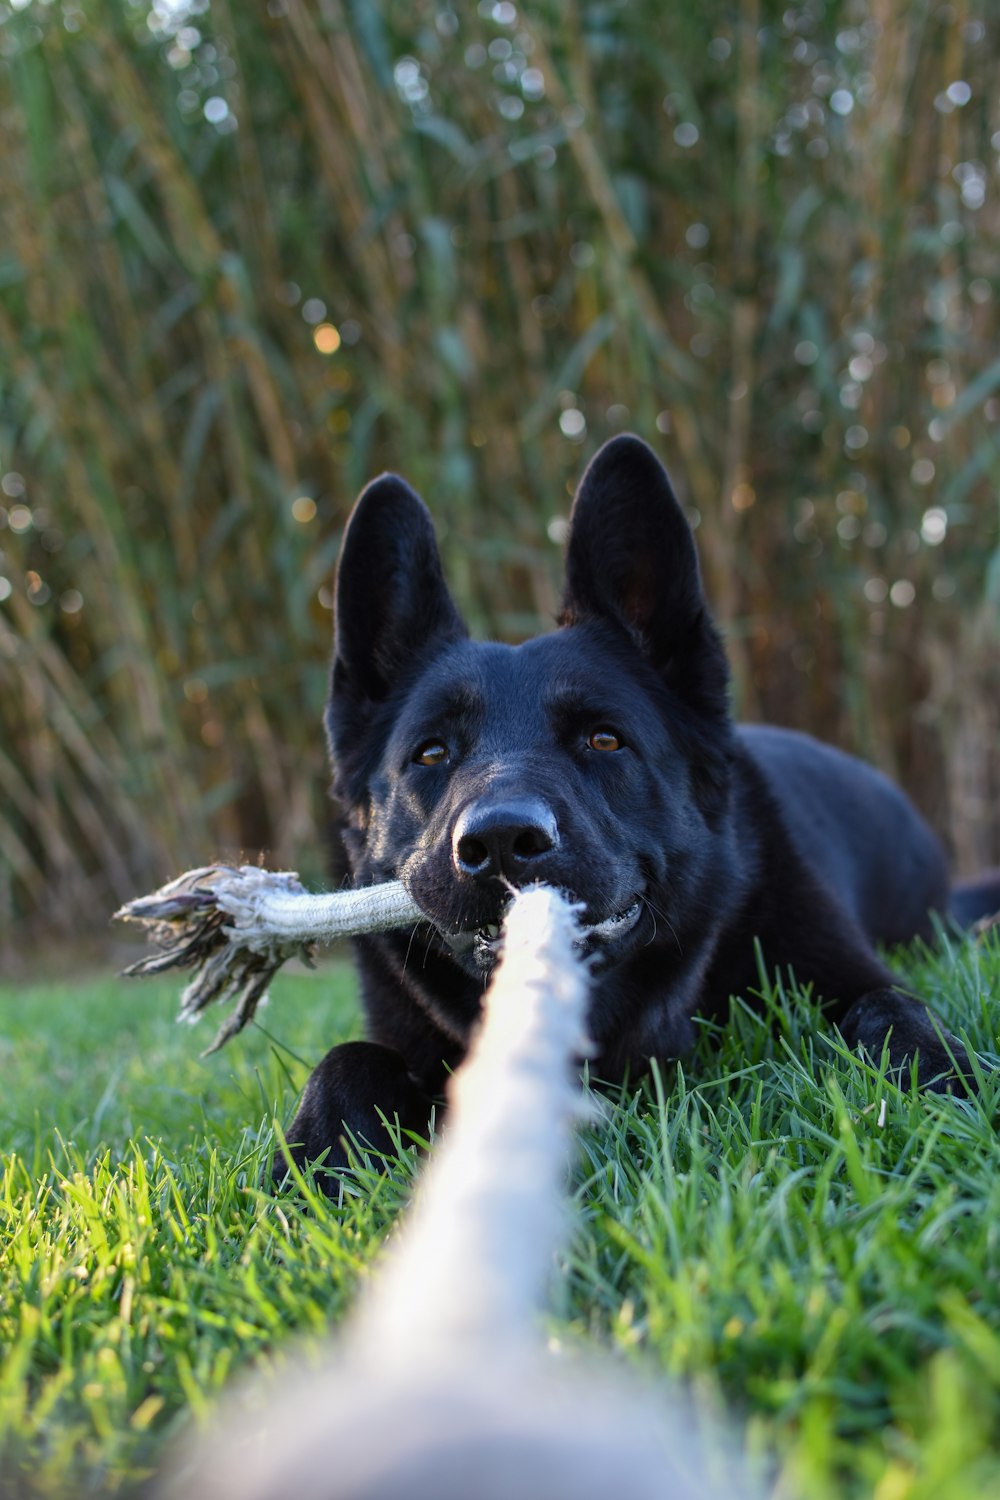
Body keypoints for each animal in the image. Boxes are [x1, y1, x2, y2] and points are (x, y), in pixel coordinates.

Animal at [284, 435, 995, 1182]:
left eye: (604, 739)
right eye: (431, 753)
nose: (502, 840)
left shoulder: (845, 969)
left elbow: (893, 1007)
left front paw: (946, 1083)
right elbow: (345, 1059)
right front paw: (312, 1162)